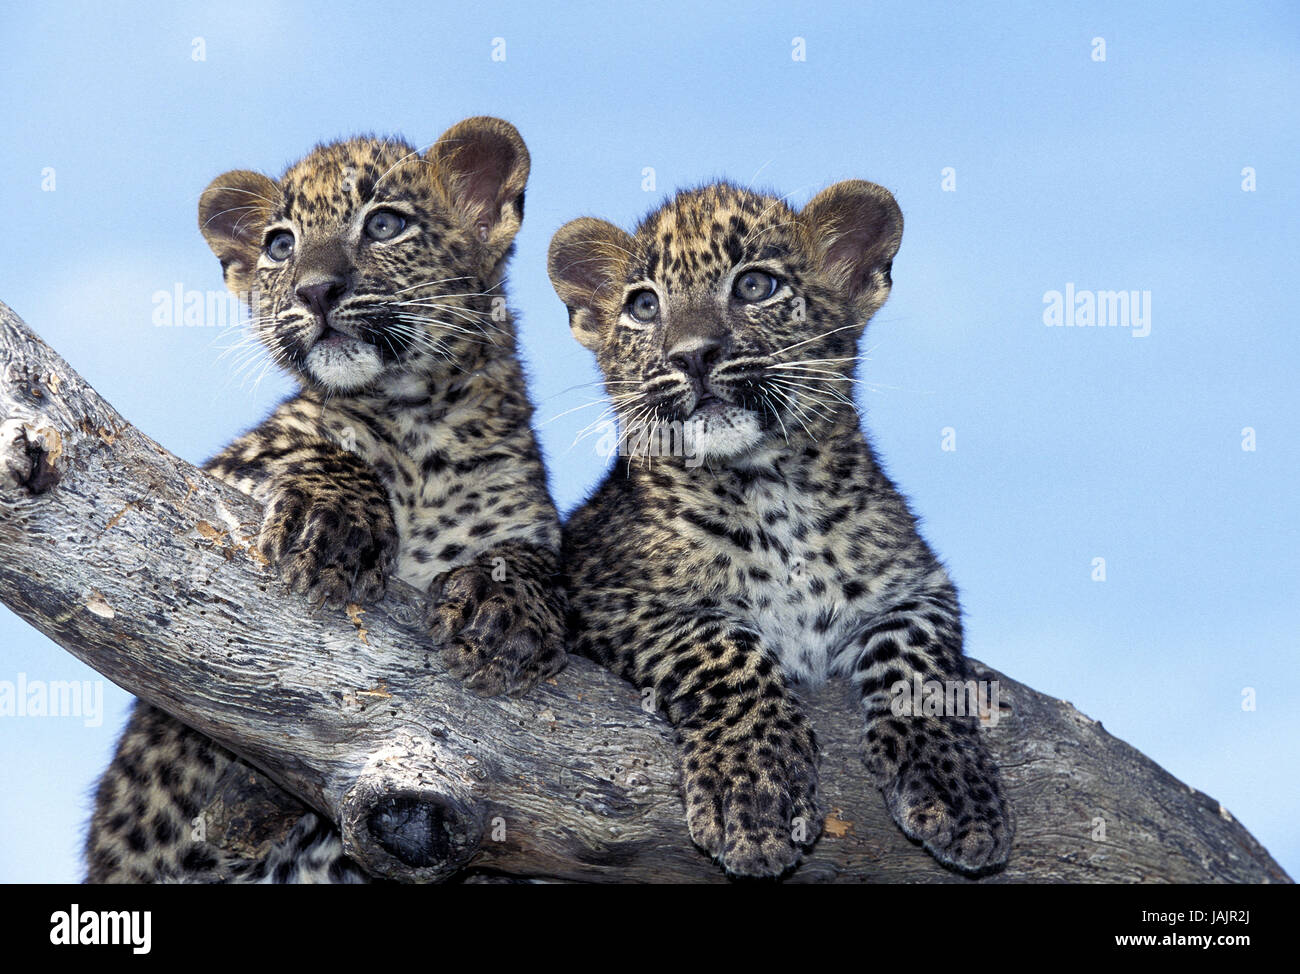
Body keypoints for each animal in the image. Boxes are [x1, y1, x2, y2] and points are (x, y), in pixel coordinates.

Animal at [84, 116, 566, 883]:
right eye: (280, 244)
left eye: (386, 224)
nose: (315, 290)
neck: (420, 418)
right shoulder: (215, 473)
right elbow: (316, 447)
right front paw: (336, 523)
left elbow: (540, 561)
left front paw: (503, 609)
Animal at [548, 180, 1013, 879]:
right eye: (644, 305)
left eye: (755, 286)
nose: (693, 355)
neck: (771, 490)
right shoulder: (599, 589)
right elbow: (721, 643)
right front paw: (754, 791)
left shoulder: (918, 583)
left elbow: (919, 665)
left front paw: (955, 786)